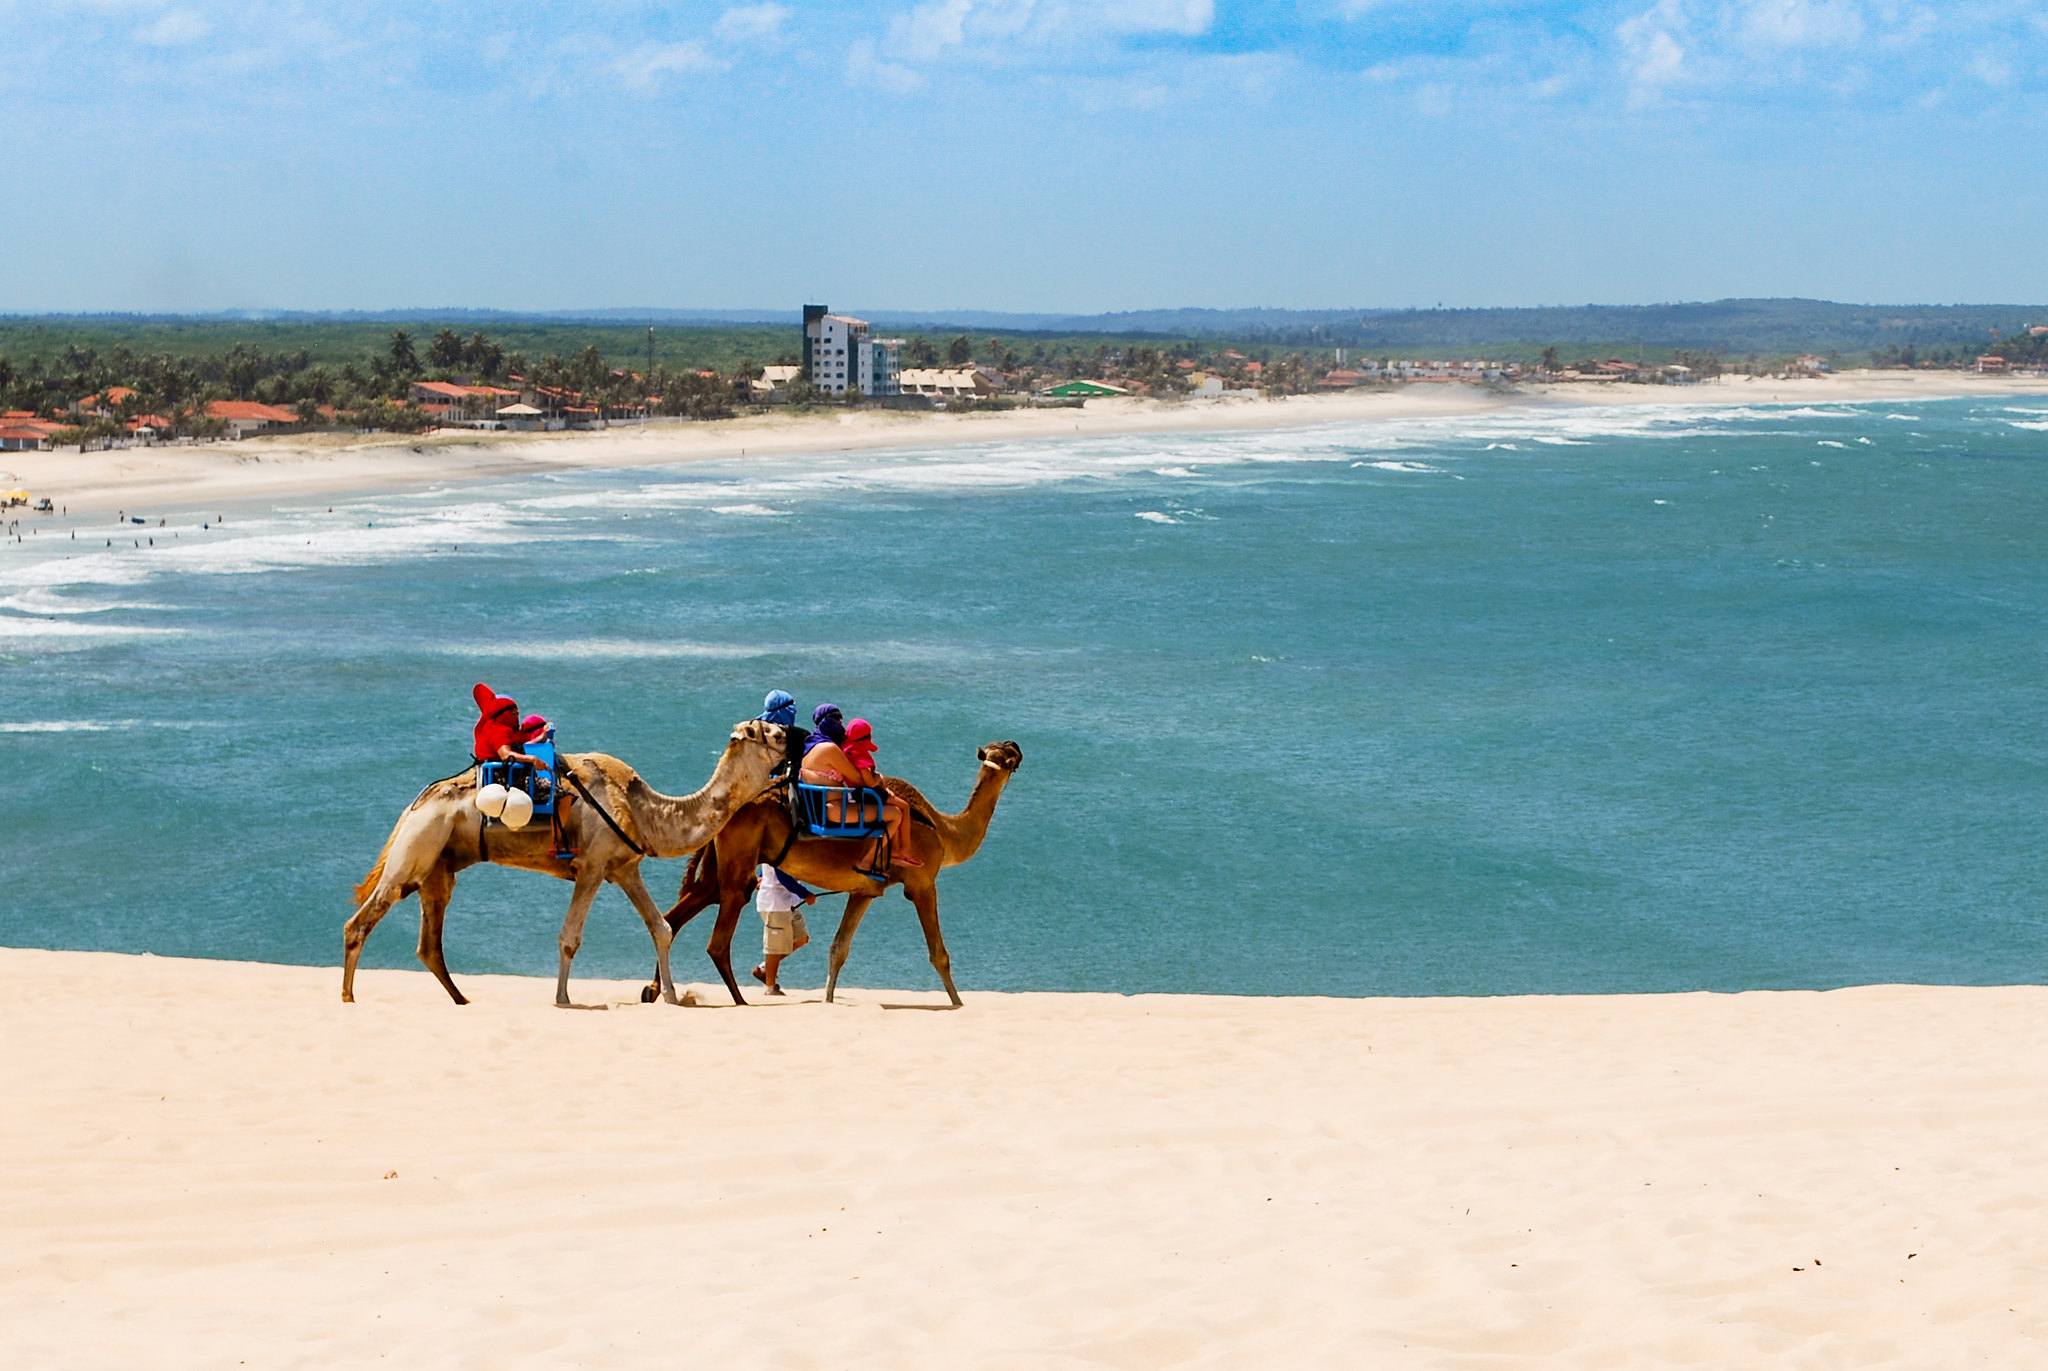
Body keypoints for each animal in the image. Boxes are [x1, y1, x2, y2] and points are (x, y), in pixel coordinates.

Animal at [339, 717, 786, 1004]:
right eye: (773, 733)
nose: (793, 737)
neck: (643, 809)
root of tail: (413, 807)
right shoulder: (591, 866)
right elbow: (570, 937)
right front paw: (563, 999)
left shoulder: (624, 867)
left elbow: (660, 927)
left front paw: (672, 997)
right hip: (416, 850)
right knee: (362, 920)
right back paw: (347, 997)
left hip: (439, 867)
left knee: (429, 943)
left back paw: (461, 1000)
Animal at [655, 737, 1024, 1004]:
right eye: (1007, 754)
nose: (1016, 744)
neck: (945, 832)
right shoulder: (922, 883)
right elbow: (939, 954)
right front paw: (958, 1003)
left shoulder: (864, 890)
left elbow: (838, 949)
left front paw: (829, 1001)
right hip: (739, 858)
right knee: (719, 937)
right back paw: (739, 1001)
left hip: (719, 860)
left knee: (680, 913)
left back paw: (657, 991)